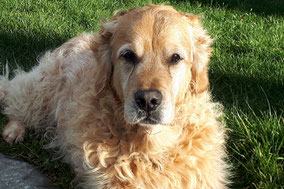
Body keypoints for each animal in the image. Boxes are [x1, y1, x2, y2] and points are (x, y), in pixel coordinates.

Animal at [0, 4, 229, 189]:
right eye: (128, 55)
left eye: (175, 58)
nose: (148, 100)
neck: (150, 147)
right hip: (42, 89)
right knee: (16, 98)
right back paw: (14, 130)